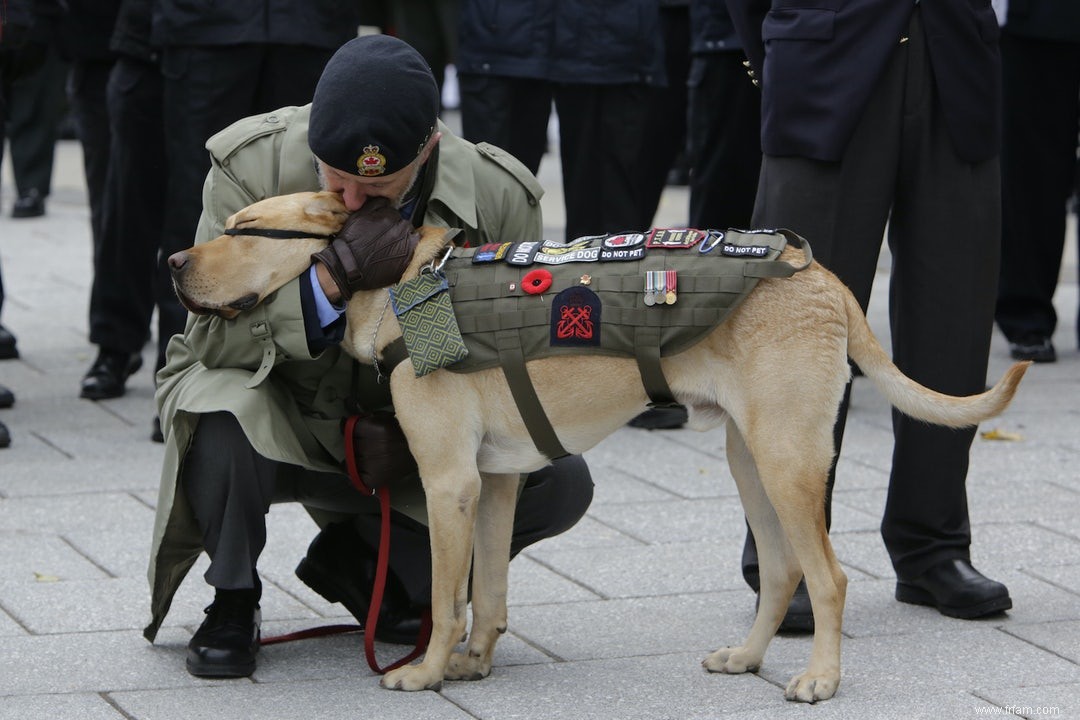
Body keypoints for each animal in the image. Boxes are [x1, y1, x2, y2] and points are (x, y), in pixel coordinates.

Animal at [168, 193, 1028, 703]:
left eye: (244, 231)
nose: (170, 261)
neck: (404, 281)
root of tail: (818, 276)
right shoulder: (494, 482)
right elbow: (488, 594)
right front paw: (475, 663)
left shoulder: (450, 483)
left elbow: (448, 599)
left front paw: (428, 671)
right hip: (749, 460)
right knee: (784, 571)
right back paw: (749, 660)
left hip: (787, 461)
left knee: (829, 576)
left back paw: (820, 676)